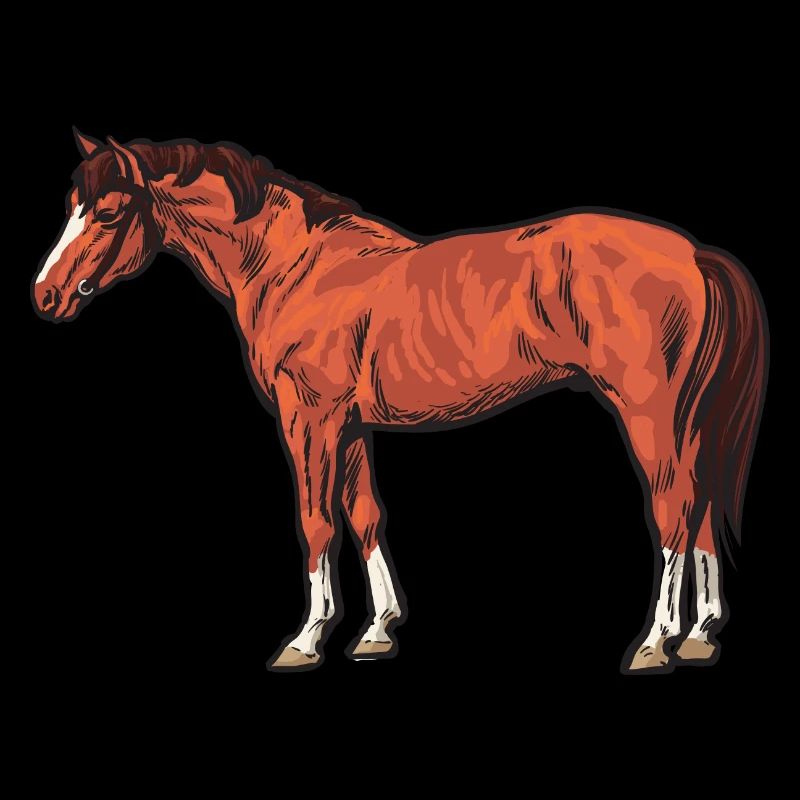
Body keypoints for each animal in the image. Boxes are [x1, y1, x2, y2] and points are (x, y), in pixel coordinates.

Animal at [32, 130, 768, 673]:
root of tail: (696, 254)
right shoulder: (351, 426)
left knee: (674, 509)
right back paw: (699, 635)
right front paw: (376, 632)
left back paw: (656, 642)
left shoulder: (310, 419)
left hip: (650, 413)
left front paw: (306, 640)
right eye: (71, 202)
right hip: (689, 420)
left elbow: (316, 521)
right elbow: (365, 516)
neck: (295, 267)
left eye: (107, 210)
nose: (45, 295)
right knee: (702, 507)